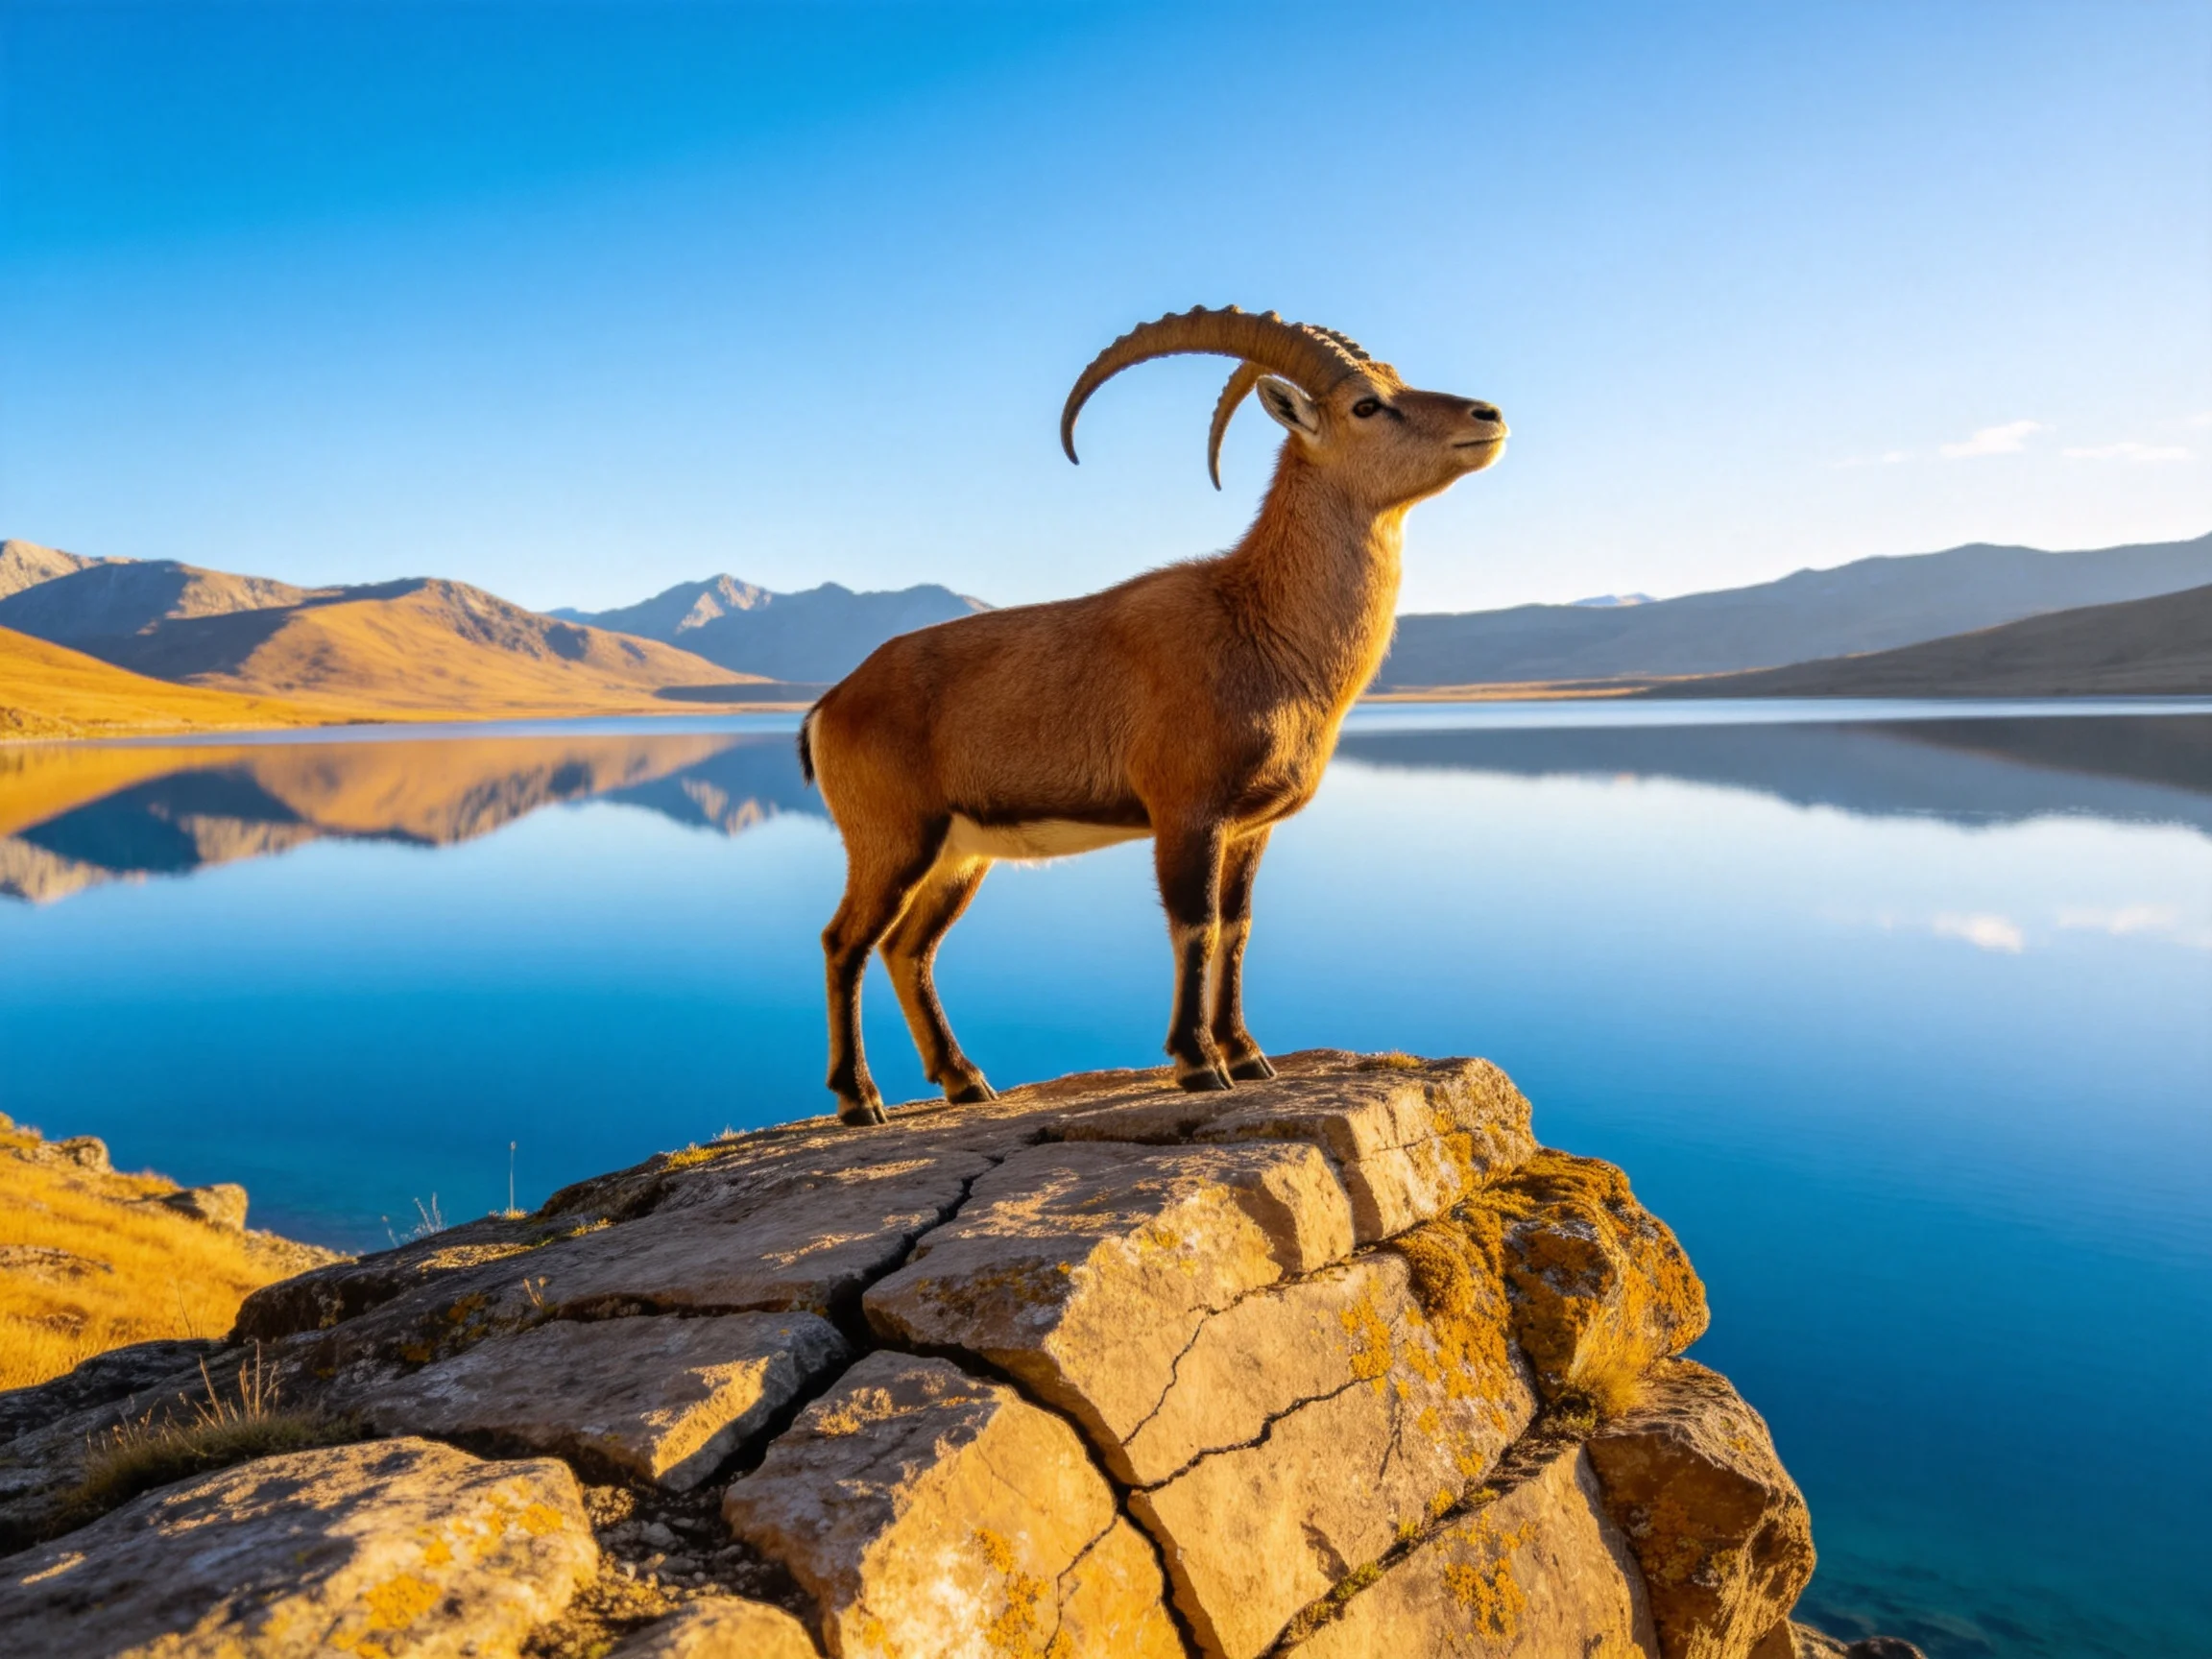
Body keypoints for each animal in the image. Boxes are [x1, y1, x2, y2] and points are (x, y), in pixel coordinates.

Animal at [800, 306, 1507, 1123]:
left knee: (908, 946)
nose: (1488, 416)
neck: (1260, 623)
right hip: (891, 840)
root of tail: (830, 704)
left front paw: (1247, 1054)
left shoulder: (1249, 828)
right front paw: (1198, 1062)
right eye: (1367, 404)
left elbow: (1237, 926)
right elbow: (1194, 924)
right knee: (845, 941)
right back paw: (860, 1099)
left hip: (958, 854)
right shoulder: (1186, 811)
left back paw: (965, 1080)